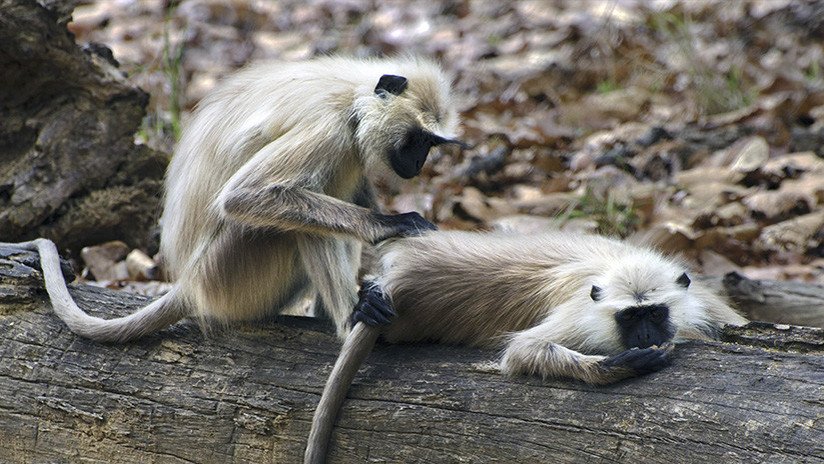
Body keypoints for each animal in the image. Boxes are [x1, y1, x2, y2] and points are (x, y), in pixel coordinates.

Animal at [0, 56, 464, 342]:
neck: (355, 96)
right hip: (229, 268)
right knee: (295, 220)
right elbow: (244, 197)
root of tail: (190, 285)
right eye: (417, 140)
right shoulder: (330, 126)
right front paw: (393, 225)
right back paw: (351, 321)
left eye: (429, 145)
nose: (418, 162)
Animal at [304, 229, 748, 464]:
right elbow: (521, 351)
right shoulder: (582, 310)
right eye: (629, 318)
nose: (645, 336)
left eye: (654, 314)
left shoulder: (703, 303)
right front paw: (619, 364)